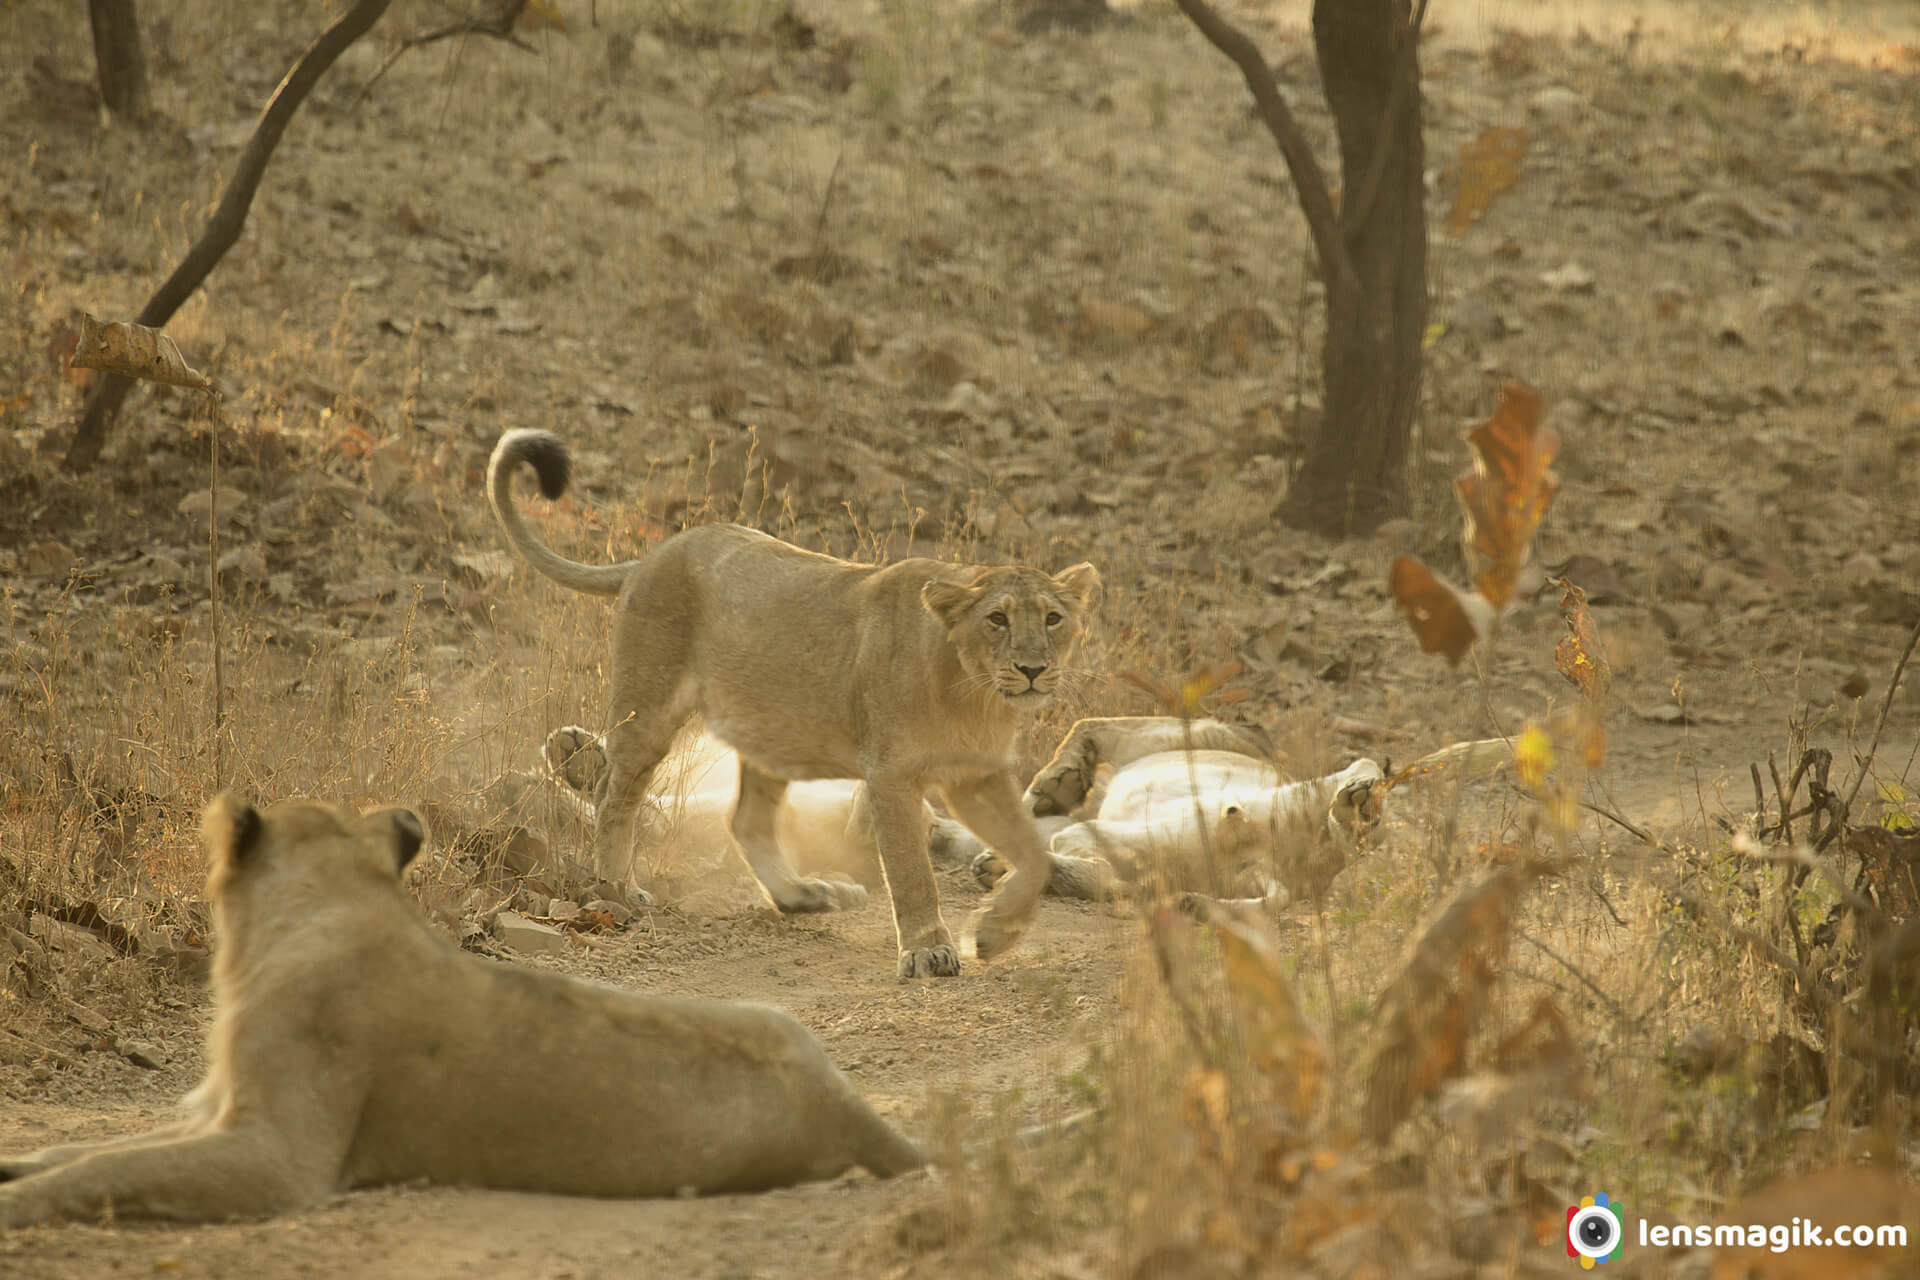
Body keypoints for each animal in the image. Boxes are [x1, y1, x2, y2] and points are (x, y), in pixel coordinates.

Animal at [0, 790, 921, 1228]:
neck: (330, 903)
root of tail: (851, 1108)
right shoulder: (217, 1115)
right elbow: (98, 1150)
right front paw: (20, 1167)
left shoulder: (280, 1159)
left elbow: (106, 1171)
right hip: (774, 1017)